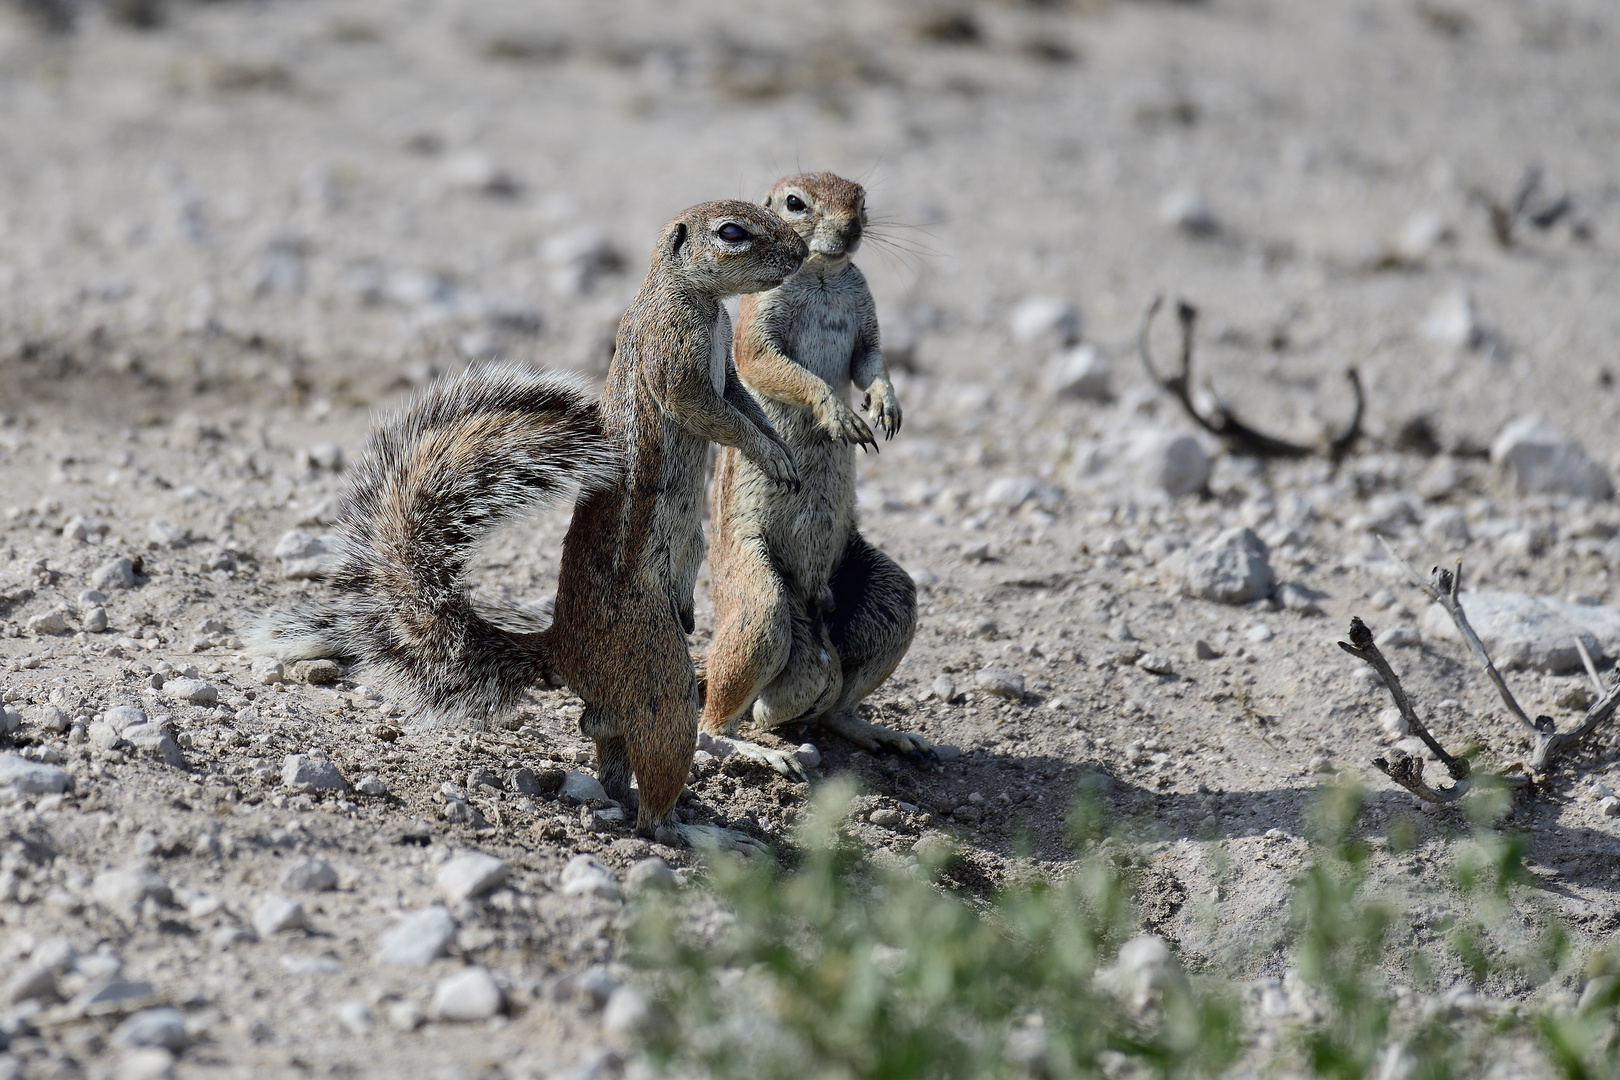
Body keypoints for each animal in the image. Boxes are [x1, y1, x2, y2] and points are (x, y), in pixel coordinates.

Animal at [255, 202, 806, 841]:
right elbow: (710, 411)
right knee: (655, 785)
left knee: (604, 739)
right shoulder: (675, 355)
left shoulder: (729, 374)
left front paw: (778, 447)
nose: (800, 254)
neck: (692, 297)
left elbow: (745, 405)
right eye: (732, 232)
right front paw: (770, 455)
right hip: (659, 675)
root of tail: (561, 650)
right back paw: (694, 829)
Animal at [699, 170, 939, 767]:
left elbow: (871, 360)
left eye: (862, 200)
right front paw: (839, 414)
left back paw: (881, 733)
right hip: (758, 605)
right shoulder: (758, 323)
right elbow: (778, 366)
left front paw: (886, 405)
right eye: (794, 203)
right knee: (714, 722)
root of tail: (815, 624)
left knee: (833, 708)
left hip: (891, 598)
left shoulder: (867, 317)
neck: (824, 276)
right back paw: (758, 750)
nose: (851, 230)